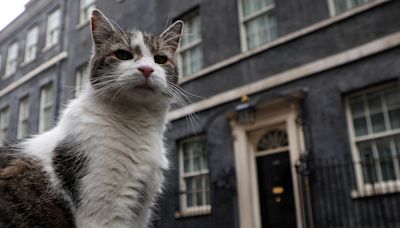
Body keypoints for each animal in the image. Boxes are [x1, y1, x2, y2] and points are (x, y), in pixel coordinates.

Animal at [0, 8, 184, 228]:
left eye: (160, 59)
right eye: (123, 55)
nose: (147, 69)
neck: (138, 123)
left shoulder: (139, 211)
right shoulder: (103, 210)